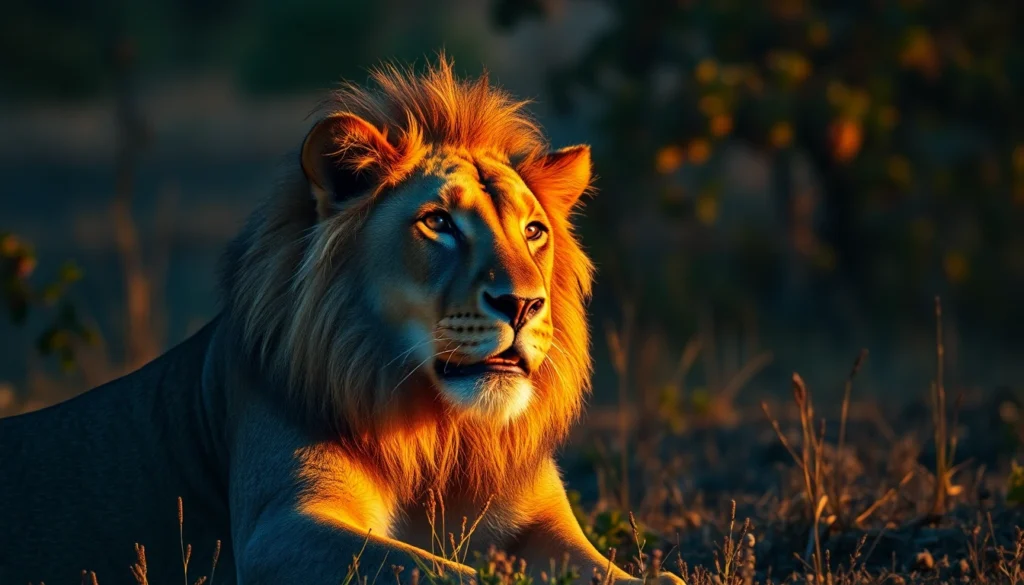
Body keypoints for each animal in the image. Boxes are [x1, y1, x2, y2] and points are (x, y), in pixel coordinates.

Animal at [0, 57, 685, 585]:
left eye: (534, 231)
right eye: (439, 223)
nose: (522, 305)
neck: (442, 440)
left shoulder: (545, 524)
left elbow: (646, 576)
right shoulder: (282, 526)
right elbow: (441, 570)